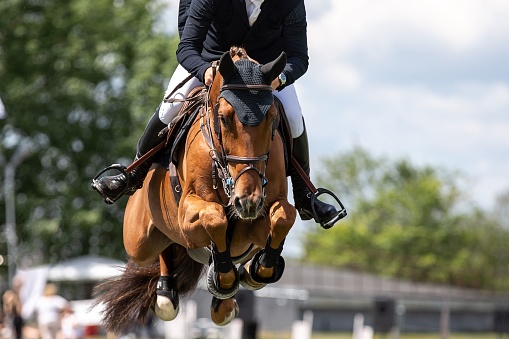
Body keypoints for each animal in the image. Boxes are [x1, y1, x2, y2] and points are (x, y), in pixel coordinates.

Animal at [94, 47, 298, 334]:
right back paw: (166, 295)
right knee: (162, 247)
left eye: (272, 119)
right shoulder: (188, 216)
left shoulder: (257, 220)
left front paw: (258, 269)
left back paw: (227, 298)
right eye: (224, 118)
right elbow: (215, 217)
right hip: (139, 242)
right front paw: (224, 278)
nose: (247, 201)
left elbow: (283, 217)